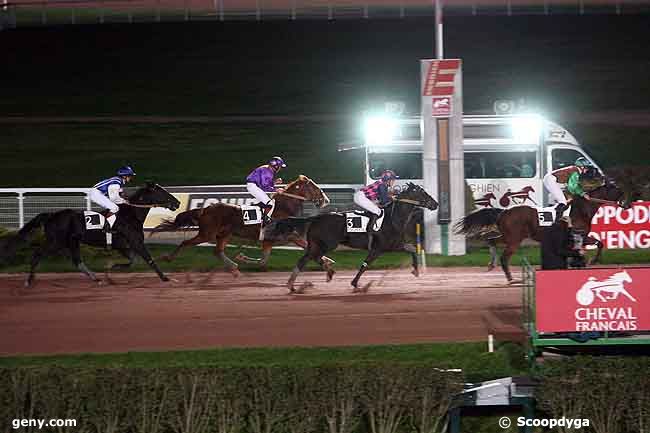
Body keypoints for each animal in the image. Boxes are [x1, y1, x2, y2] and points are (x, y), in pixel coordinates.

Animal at [0, 182, 178, 286]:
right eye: (162, 192)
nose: (177, 202)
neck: (131, 214)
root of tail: (51, 215)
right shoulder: (135, 242)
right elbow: (148, 259)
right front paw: (165, 278)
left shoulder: (123, 246)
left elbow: (133, 261)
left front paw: (110, 271)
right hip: (55, 241)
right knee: (37, 255)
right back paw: (29, 281)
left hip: (72, 241)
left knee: (77, 261)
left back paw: (96, 278)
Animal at [149, 174, 326, 276]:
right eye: (314, 187)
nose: (325, 200)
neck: (283, 208)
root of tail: (205, 209)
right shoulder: (285, 236)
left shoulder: (270, 240)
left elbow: (264, 260)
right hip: (207, 234)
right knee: (186, 242)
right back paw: (167, 257)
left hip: (224, 234)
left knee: (217, 251)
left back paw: (234, 268)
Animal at [266, 181, 438, 292]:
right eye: (422, 192)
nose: (435, 204)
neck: (393, 218)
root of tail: (314, 218)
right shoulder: (379, 248)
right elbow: (365, 265)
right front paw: (356, 284)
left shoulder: (393, 245)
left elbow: (412, 249)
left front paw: (416, 270)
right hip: (326, 244)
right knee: (311, 258)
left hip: (317, 245)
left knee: (306, 259)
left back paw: (300, 282)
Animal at [454, 176, 624, 282]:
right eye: (618, 190)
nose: (626, 203)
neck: (582, 209)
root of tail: (503, 211)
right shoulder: (577, 234)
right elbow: (592, 246)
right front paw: (591, 260)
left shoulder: (580, 236)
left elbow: (598, 243)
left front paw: (586, 261)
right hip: (514, 239)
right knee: (504, 257)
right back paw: (510, 278)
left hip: (508, 236)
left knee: (491, 240)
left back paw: (491, 264)